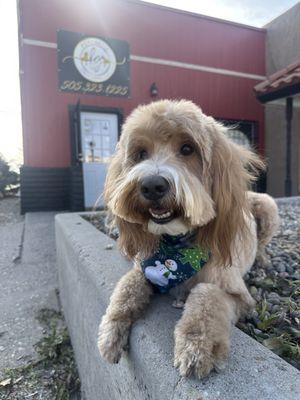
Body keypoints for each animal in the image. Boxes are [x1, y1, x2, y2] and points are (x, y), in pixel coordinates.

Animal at [98, 99, 278, 378]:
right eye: (141, 153)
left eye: (187, 148)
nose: (152, 185)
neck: (176, 246)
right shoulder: (143, 269)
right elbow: (126, 289)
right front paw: (111, 330)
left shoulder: (239, 295)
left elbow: (207, 298)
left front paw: (197, 348)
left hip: (267, 207)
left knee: (262, 247)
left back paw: (262, 262)